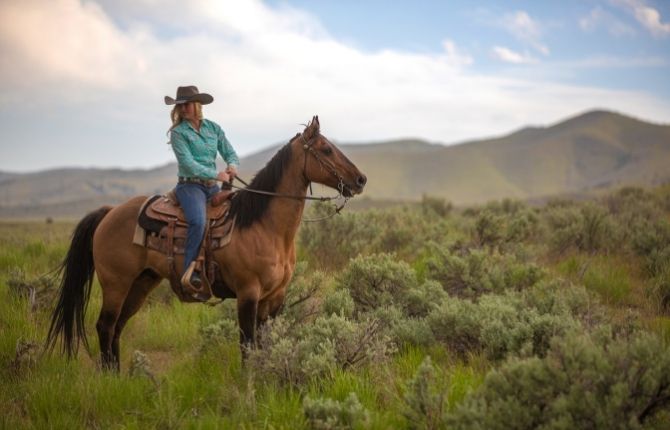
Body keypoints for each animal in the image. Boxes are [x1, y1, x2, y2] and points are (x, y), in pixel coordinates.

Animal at [46, 116, 368, 370]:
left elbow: (266, 345)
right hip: (116, 283)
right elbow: (247, 347)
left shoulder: (274, 298)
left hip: (141, 283)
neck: (266, 228)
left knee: (116, 329)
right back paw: (109, 379)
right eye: (326, 149)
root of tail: (110, 212)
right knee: (105, 326)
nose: (361, 179)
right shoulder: (248, 294)